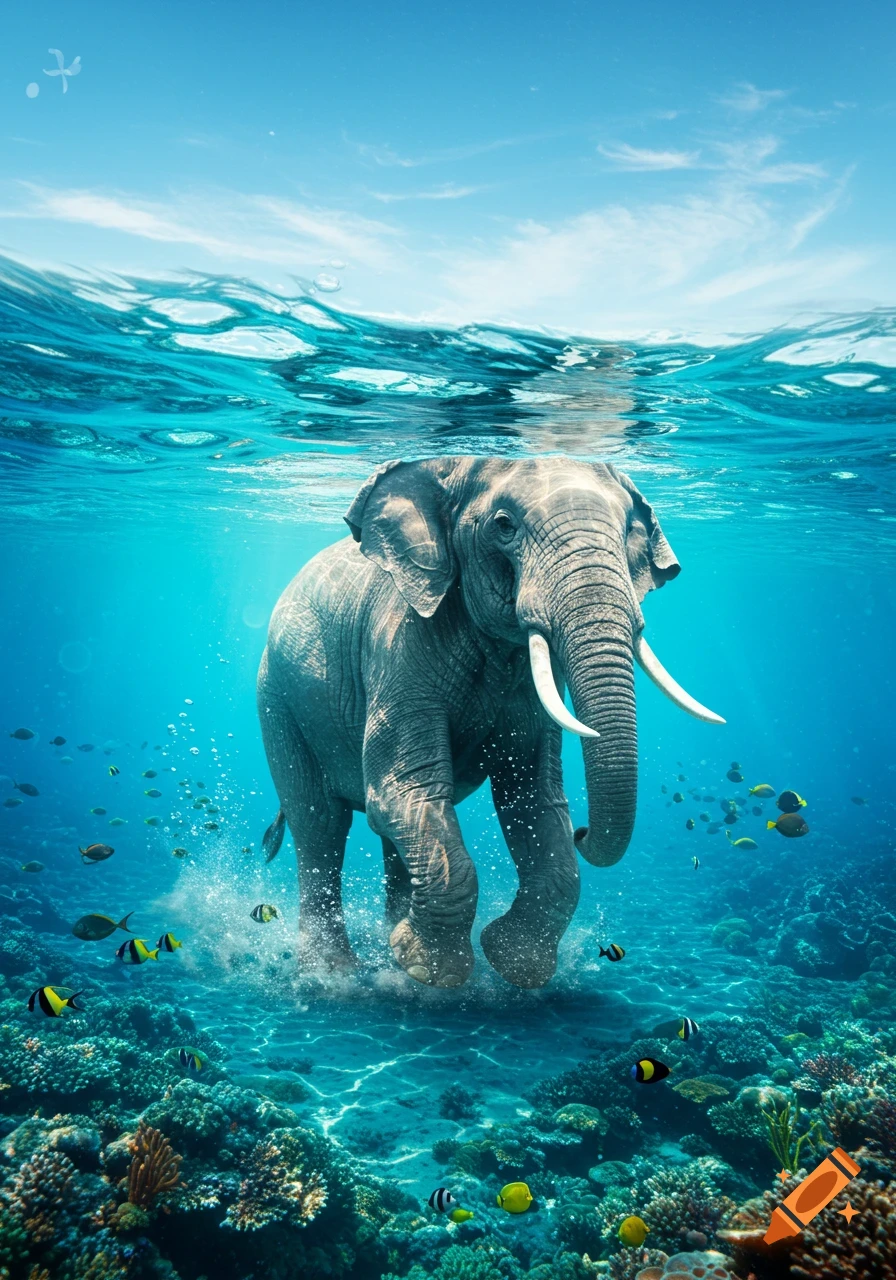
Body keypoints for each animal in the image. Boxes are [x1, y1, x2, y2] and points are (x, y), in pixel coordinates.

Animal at [257, 456, 724, 989]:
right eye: (504, 526)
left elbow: (533, 801)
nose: (585, 831)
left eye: (630, 531)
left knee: (386, 835)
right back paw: (333, 977)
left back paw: (390, 951)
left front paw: (510, 965)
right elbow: (406, 790)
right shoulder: (398, 645)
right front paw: (433, 972)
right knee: (320, 824)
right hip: (276, 700)